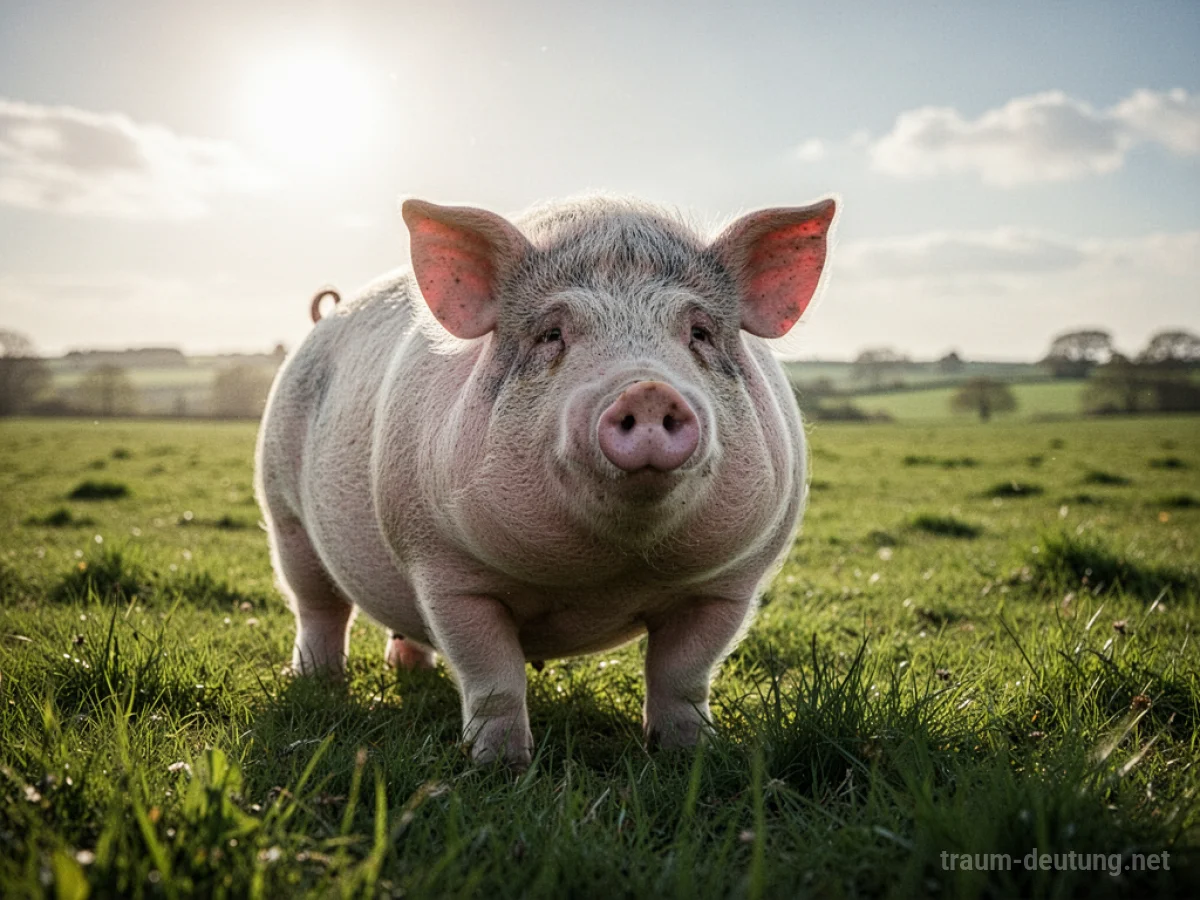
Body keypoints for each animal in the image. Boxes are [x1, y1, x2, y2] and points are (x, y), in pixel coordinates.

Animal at [255, 194, 837, 767]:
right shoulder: (446, 571)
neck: (604, 576)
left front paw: (688, 756)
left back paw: (407, 669)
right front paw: (501, 766)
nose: (648, 390)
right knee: (318, 605)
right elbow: (493, 678)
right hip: (284, 513)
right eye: (551, 334)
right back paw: (317, 682)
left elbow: (684, 675)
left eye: (699, 333)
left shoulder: (730, 584)